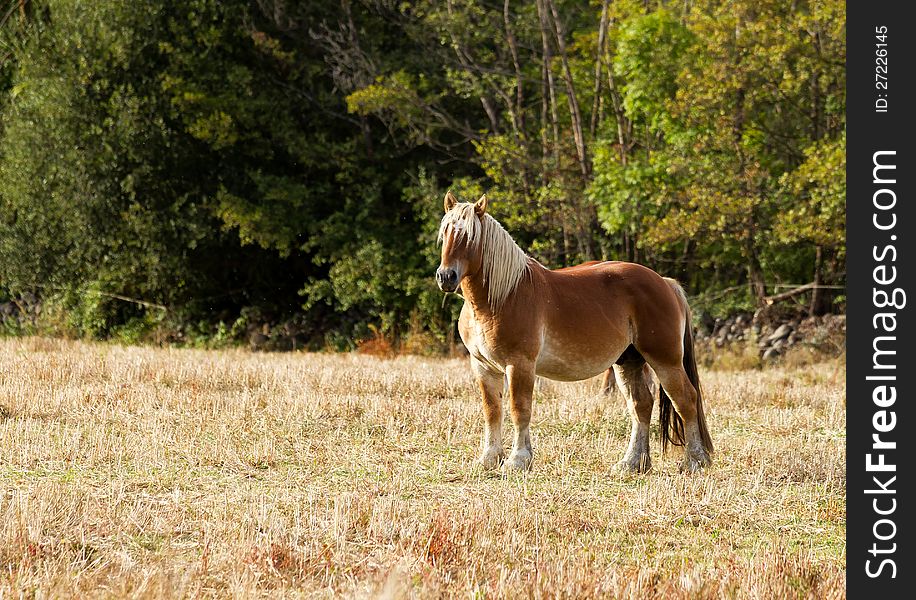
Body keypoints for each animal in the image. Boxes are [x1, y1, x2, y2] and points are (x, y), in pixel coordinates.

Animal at [438, 192, 716, 474]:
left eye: (469, 237)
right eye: (445, 232)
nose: (446, 277)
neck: (502, 296)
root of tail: (665, 283)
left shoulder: (519, 364)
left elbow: (519, 409)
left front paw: (518, 460)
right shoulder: (483, 366)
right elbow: (492, 410)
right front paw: (489, 459)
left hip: (665, 361)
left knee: (686, 400)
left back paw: (695, 461)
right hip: (629, 362)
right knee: (641, 406)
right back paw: (632, 463)